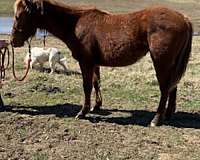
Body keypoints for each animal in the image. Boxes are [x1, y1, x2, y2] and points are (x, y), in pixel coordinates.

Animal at [10, 0, 192, 126]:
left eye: (18, 16)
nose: (13, 41)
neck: (75, 25)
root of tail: (183, 18)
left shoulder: (86, 63)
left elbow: (86, 86)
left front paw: (83, 112)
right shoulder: (94, 63)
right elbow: (96, 83)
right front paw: (96, 106)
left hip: (161, 62)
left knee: (165, 88)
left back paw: (156, 119)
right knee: (173, 86)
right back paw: (168, 114)